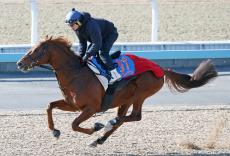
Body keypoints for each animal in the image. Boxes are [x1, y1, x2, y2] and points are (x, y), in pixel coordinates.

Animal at [16, 36, 217, 147]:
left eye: (36, 50)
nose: (19, 63)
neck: (76, 73)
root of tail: (160, 68)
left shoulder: (91, 108)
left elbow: (74, 125)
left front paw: (94, 127)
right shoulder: (72, 105)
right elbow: (49, 106)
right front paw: (55, 131)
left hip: (140, 94)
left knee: (134, 116)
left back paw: (106, 125)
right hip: (125, 99)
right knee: (123, 119)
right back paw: (100, 139)